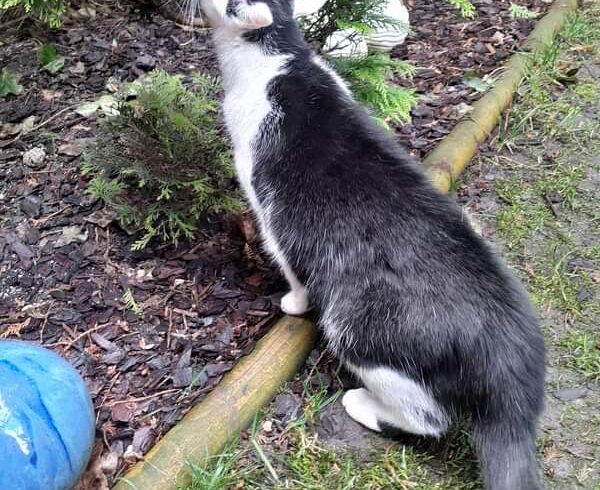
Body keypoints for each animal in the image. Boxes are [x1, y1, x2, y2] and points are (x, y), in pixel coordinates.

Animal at [200, 1, 544, 488]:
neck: (280, 59)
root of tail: (511, 364)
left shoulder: (271, 210)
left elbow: (291, 266)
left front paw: (292, 303)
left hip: (356, 326)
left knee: (430, 418)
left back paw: (362, 404)